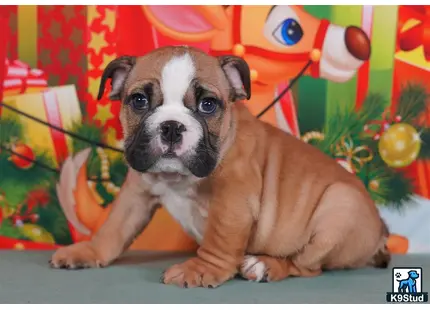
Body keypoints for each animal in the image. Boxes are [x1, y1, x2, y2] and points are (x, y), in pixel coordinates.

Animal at [49, 46, 390, 288]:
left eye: (208, 105)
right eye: (139, 101)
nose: (171, 126)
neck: (177, 178)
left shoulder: (233, 201)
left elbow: (219, 239)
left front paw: (201, 269)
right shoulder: (137, 193)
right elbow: (114, 227)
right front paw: (89, 252)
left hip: (340, 206)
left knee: (307, 266)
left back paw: (265, 265)